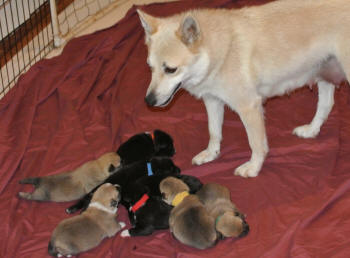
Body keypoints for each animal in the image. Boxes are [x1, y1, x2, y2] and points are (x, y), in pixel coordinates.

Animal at [138, 0, 350, 177]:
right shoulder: (212, 100)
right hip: (323, 74)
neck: (220, 51)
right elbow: (213, 131)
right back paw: (311, 130)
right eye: (150, 67)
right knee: (326, 106)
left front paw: (254, 167)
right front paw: (211, 153)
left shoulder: (249, 107)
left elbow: (256, 144)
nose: (148, 101)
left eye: (170, 69)